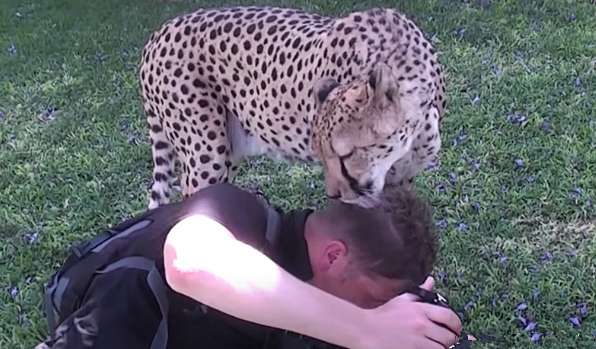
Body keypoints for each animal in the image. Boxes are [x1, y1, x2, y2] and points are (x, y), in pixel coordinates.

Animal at [140, 6, 444, 207]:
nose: (334, 195)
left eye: (346, 154)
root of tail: (162, 31)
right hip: (207, 156)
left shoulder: (399, 183)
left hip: (229, 153)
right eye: (322, 155)